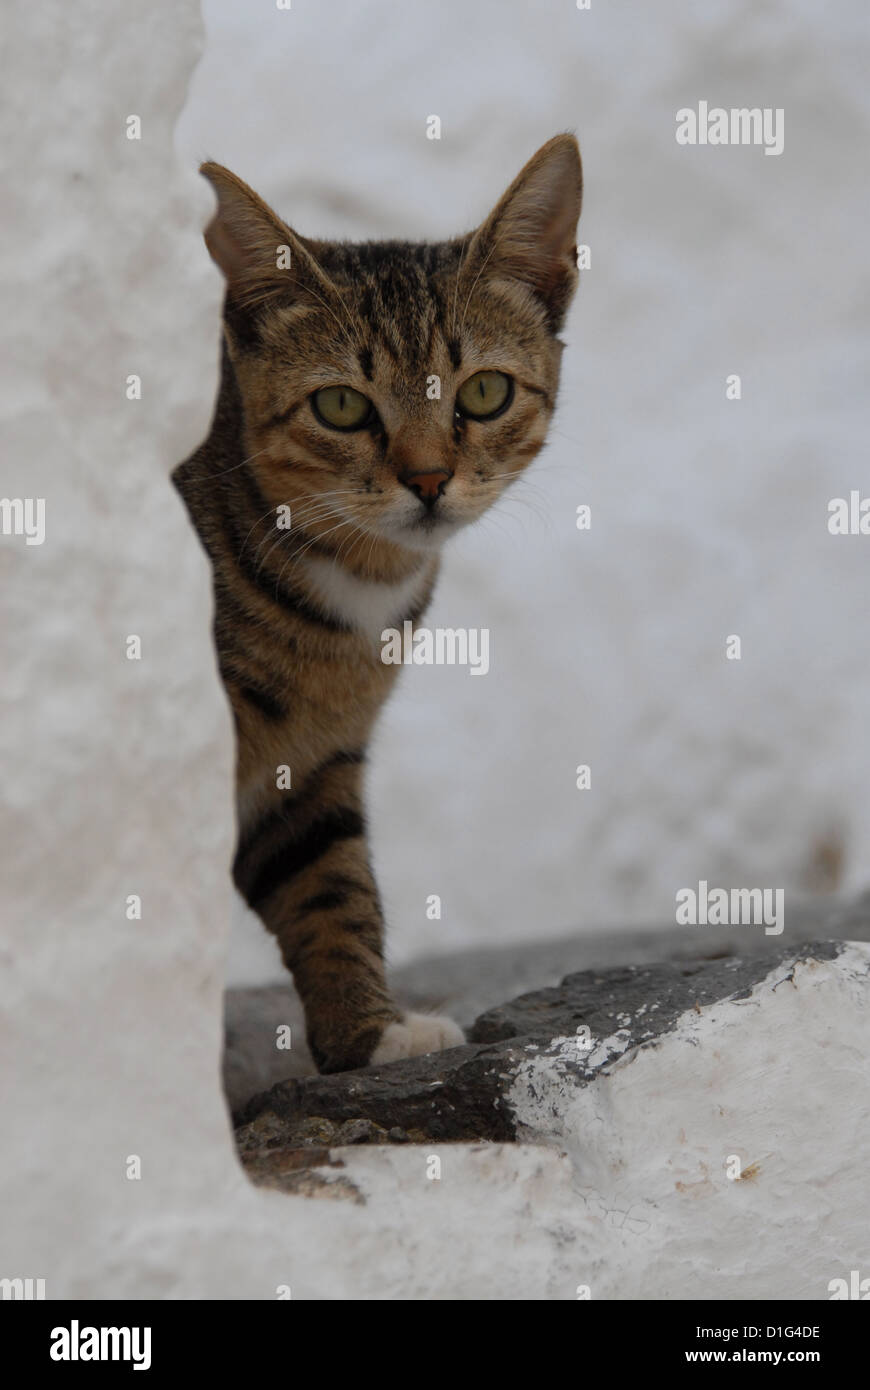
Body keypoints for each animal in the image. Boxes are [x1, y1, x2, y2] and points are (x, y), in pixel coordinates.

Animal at [171, 135, 578, 1073]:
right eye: (342, 405)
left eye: (485, 392)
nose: (428, 480)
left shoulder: (312, 769)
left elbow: (334, 890)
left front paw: (370, 1033)